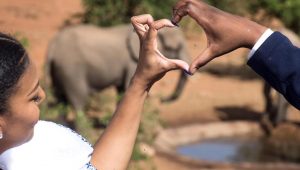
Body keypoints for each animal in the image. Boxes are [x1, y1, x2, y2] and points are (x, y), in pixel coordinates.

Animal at [47, 23, 190, 111]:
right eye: (174, 48)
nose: (162, 100)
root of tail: (53, 44)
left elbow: (122, 90)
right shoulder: (133, 61)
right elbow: (127, 87)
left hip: (60, 70)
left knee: (59, 101)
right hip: (72, 69)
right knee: (79, 102)